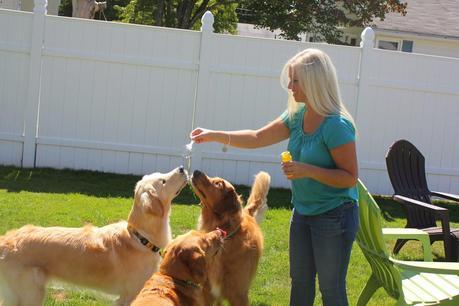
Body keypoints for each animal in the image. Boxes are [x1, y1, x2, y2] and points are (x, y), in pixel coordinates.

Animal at [0, 167, 189, 306]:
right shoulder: (131, 294)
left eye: (162, 175)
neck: (140, 237)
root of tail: (5, 240)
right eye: (163, 181)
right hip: (30, 294)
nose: (182, 168)